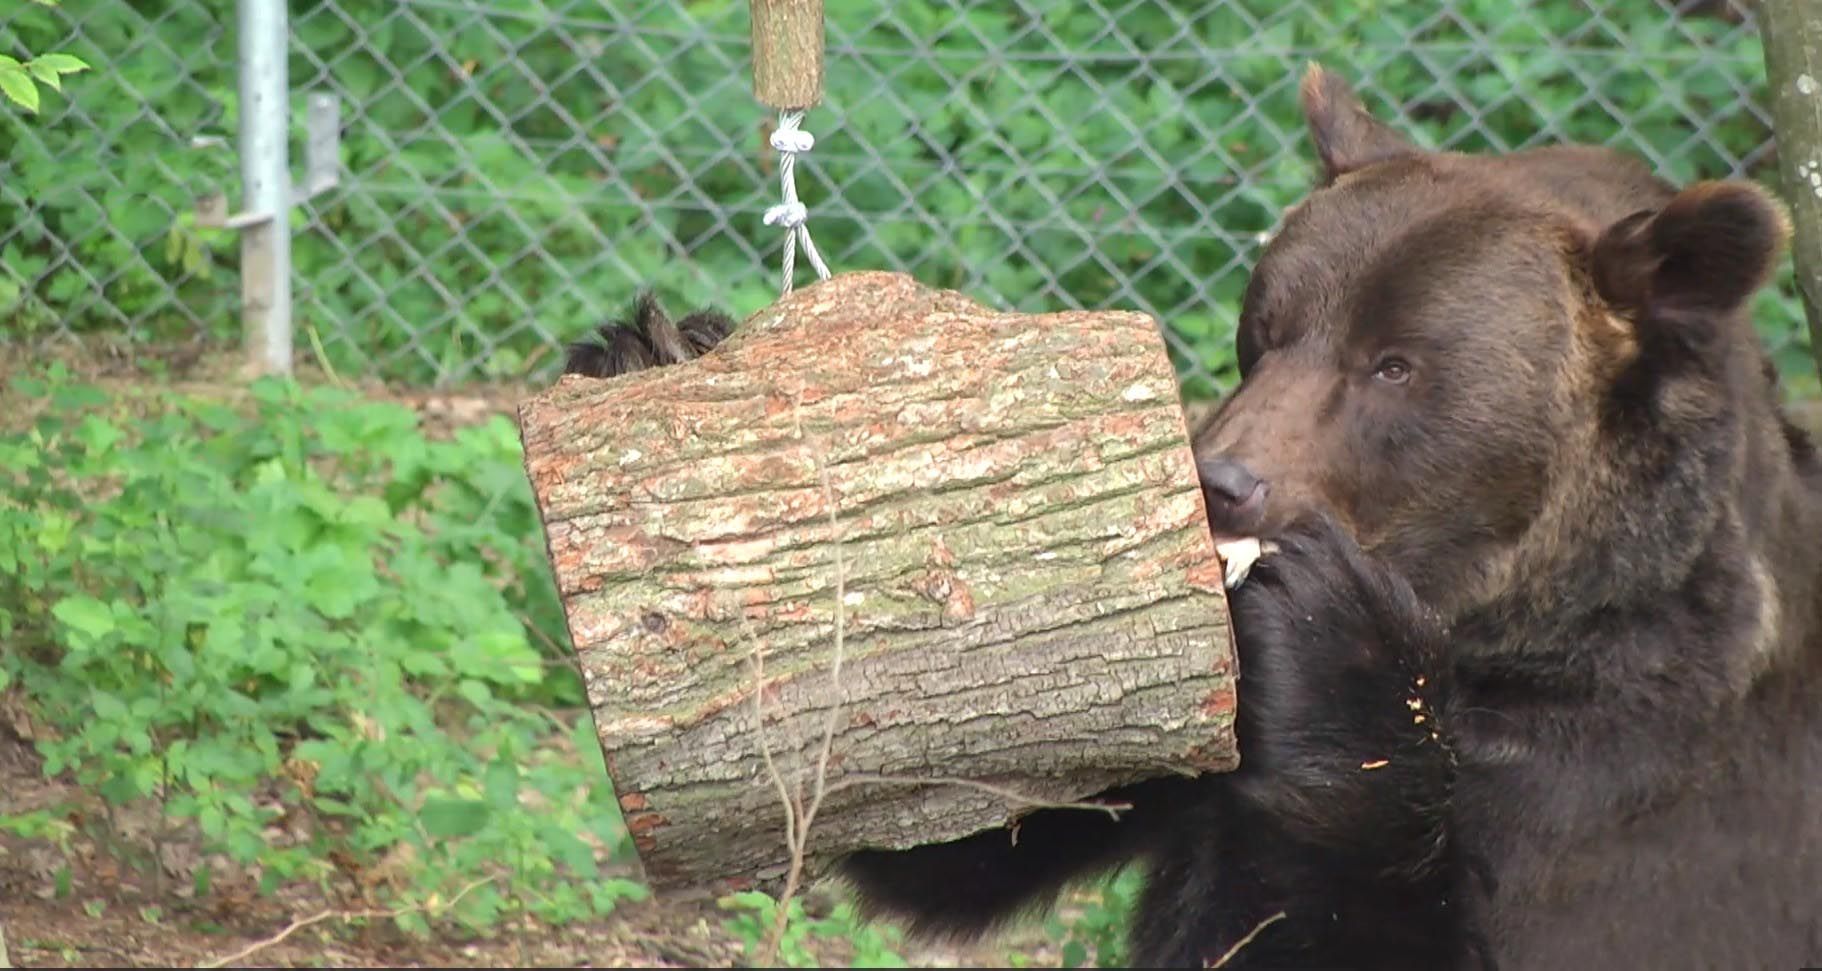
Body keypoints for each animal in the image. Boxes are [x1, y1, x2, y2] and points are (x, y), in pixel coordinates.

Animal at [561, 66, 1814, 969]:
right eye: (1266, 327)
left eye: (1395, 363)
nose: (1220, 477)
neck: (1512, 627)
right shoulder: (1198, 723)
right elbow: (975, 809)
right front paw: (651, 346)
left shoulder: (1613, 787)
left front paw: (1333, 633)